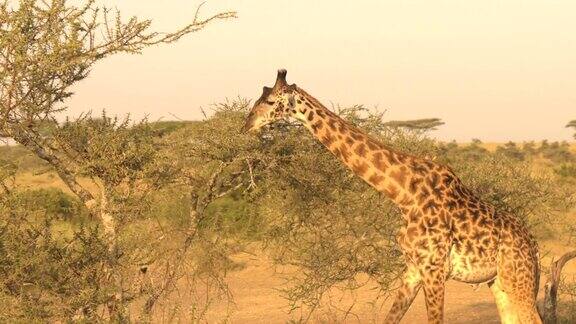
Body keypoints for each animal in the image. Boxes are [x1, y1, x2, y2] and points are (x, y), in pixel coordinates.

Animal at [242, 69, 540, 322]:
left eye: (270, 101)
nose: (246, 125)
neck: (404, 194)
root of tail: (534, 245)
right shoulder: (413, 269)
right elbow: (391, 317)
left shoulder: (434, 269)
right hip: (499, 282)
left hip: (519, 279)